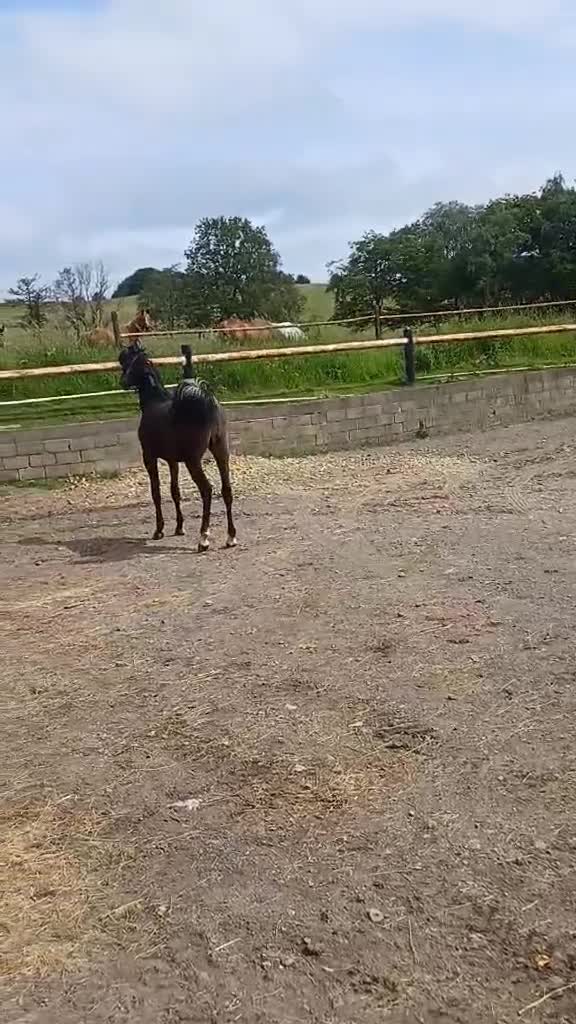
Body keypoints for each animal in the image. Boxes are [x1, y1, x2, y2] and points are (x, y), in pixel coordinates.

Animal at [119, 343, 236, 553]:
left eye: (128, 360)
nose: (122, 382)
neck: (154, 402)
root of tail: (207, 404)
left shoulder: (149, 457)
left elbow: (156, 492)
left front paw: (159, 530)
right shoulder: (172, 460)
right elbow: (175, 491)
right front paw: (179, 527)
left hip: (193, 461)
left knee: (207, 490)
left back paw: (203, 538)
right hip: (221, 452)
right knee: (227, 490)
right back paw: (230, 537)